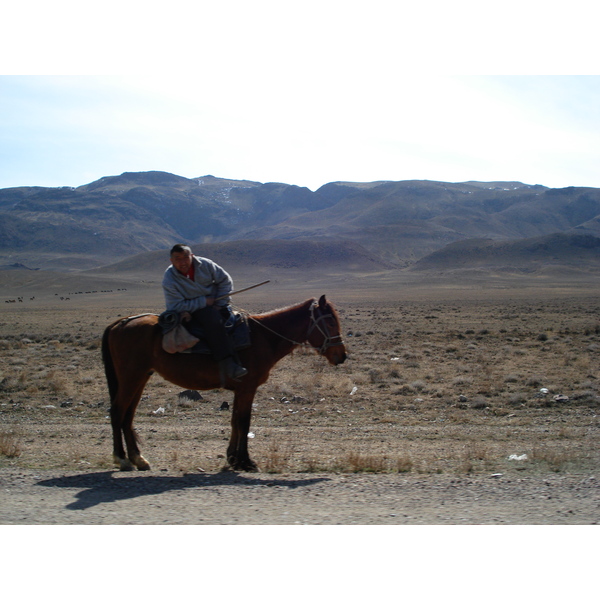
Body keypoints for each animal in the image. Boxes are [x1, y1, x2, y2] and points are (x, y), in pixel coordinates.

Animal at [102, 296, 346, 474]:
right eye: (330, 322)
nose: (341, 356)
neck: (263, 337)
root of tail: (119, 323)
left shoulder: (241, 390)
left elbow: (235, 421)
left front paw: (233, 458)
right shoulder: (247, 388)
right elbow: (244, 422)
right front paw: (246, 462)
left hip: (139, 378)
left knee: (127, 416)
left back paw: (138, 459)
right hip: (131, 377)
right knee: (117, 412)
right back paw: (122, 459)